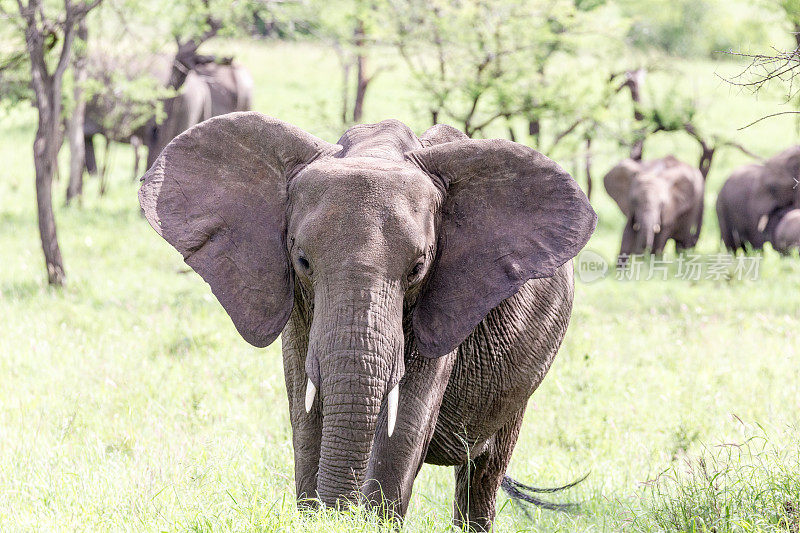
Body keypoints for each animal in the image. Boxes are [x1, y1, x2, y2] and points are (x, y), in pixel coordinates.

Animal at [141, 111, 596, 528]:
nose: (337, 513)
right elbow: (305, 414)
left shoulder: (443, 303)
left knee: (483, 473)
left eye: (417, 268)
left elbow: (405, 424)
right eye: (302, 261)